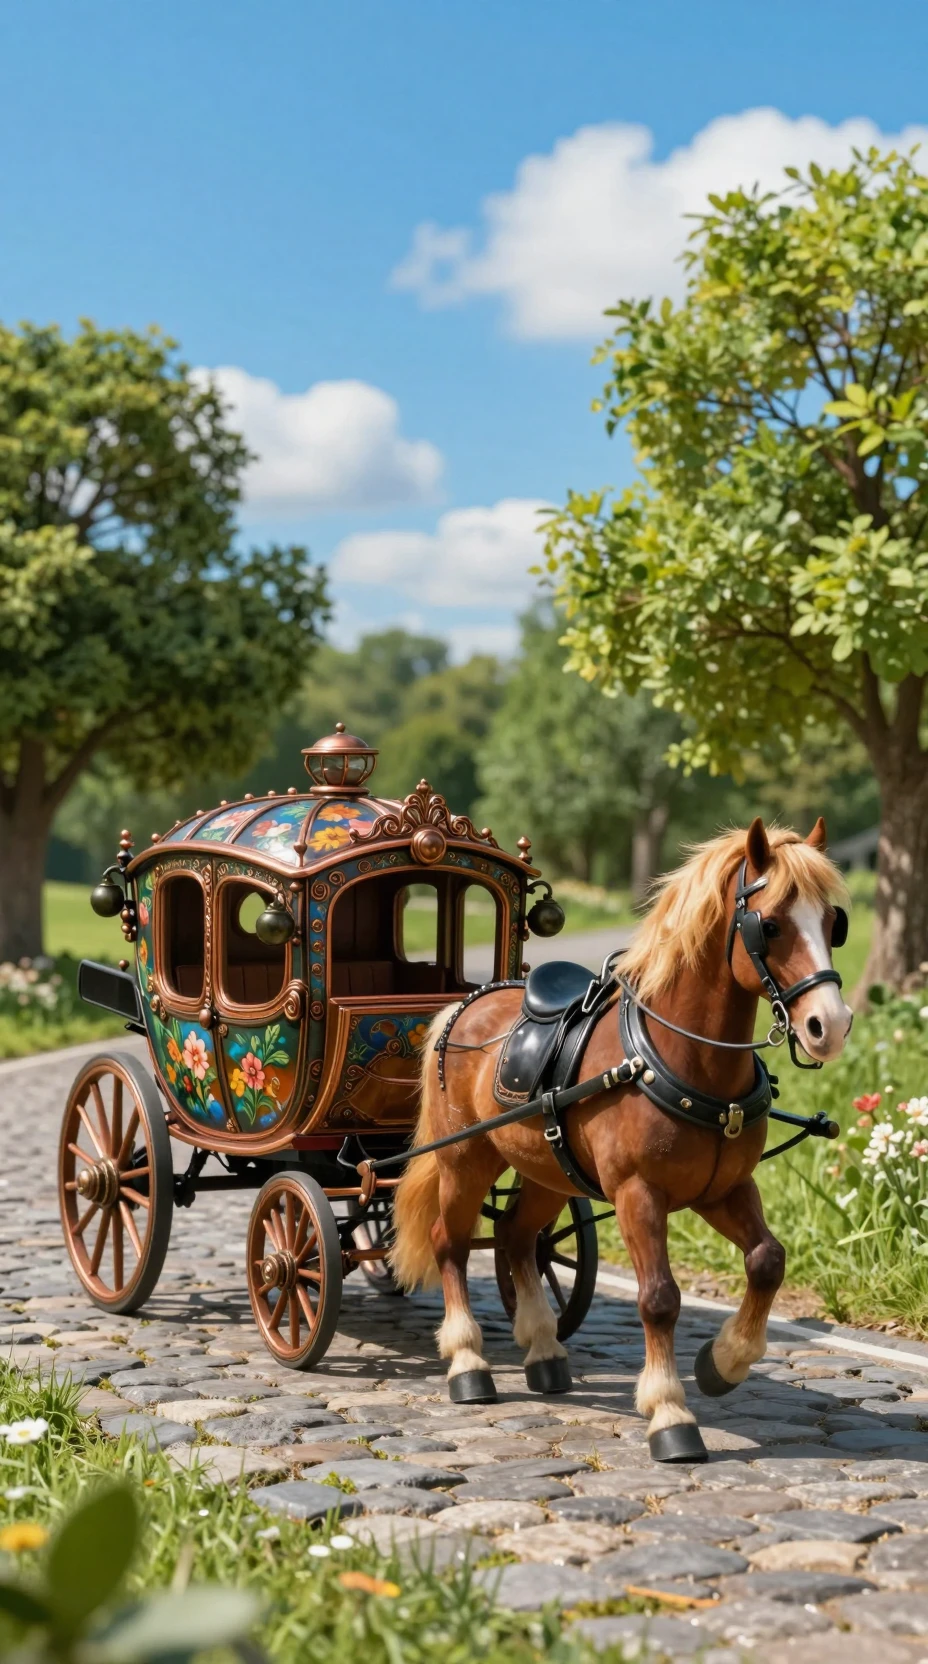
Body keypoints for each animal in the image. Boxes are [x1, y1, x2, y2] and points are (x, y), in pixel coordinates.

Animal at [391, 816, 852, 1462]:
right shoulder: (639, 1194)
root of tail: (464, 1005)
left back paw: (544, 1350)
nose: (829, 1026)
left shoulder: (725, 1188)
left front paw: (723, 1363)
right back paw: (468, 1363)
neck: (682, 1060)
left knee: (514, 1238)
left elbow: (767, 1261)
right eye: (771, 925)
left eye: (834, 923)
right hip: (464, 1158)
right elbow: (659, 1298)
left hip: (547, 1172)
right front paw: (670, 1413)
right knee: (450, 1244)